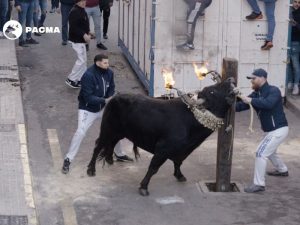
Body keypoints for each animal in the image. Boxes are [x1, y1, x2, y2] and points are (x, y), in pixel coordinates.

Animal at [86, 77, 237, 195]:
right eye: (212, 91)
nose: (231, 80)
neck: (192, 118)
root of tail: (114, 98)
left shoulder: (184, 150)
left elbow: (178, 162)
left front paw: (180, 176)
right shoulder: (162, 149)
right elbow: (153, 168)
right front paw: (144, 187)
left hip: (119, 132)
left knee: (111, 143)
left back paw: (109, 159)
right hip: (107, 129)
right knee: (98, 146)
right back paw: (91, 170)